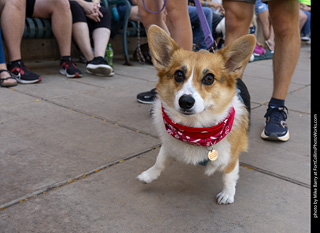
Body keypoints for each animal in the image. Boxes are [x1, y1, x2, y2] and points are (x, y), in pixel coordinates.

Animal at [138, 25, 255, 204]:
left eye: (209, 78)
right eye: (178, 74)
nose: (185, 101)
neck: (195, 130)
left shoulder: (231, 158)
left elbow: (228, 176)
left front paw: (227, 194)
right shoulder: (169, 146)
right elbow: (159, 161)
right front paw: (148, 175)